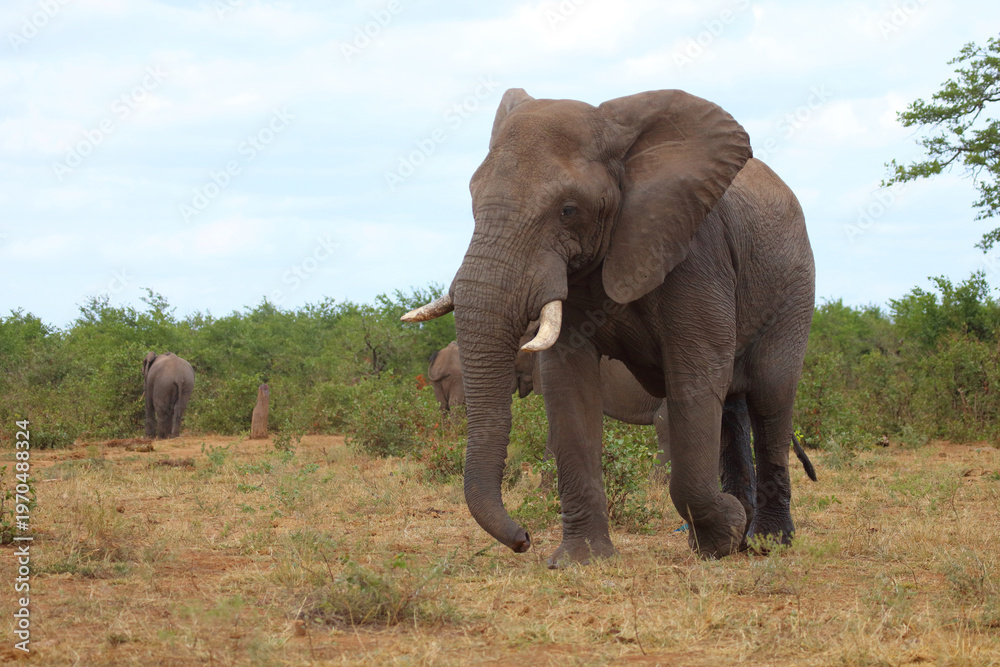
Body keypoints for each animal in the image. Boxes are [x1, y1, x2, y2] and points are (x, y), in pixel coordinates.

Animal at [403, 88, 815, 565]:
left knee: (770, 396)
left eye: (568, 210)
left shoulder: (696, 253)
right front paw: (580, 560)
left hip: (794, 285)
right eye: (472, 200)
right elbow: (569, 385)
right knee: (732, 409)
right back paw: (740, 537)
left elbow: (694, 380)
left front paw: (722, 534)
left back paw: (767, 541)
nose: (523, 538)